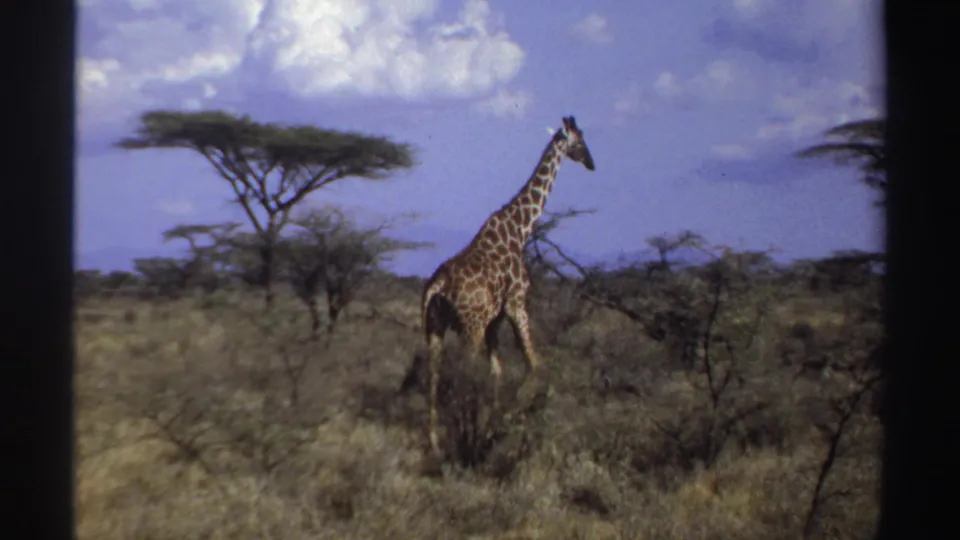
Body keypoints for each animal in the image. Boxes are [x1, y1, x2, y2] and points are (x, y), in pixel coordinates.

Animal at [419, 115, 596, 455]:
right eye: (580, 141)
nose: (591, 163)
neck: (520, 230)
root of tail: (439, 284)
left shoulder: (495, 320)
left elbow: (497, 372)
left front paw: (491, 423)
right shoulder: (516, 304)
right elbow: (534, 364)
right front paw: (511, 416)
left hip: (435, 325)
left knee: (433, 374)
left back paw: (436, 443)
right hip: (470, 325)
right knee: (463, 373)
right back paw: (464, 438)